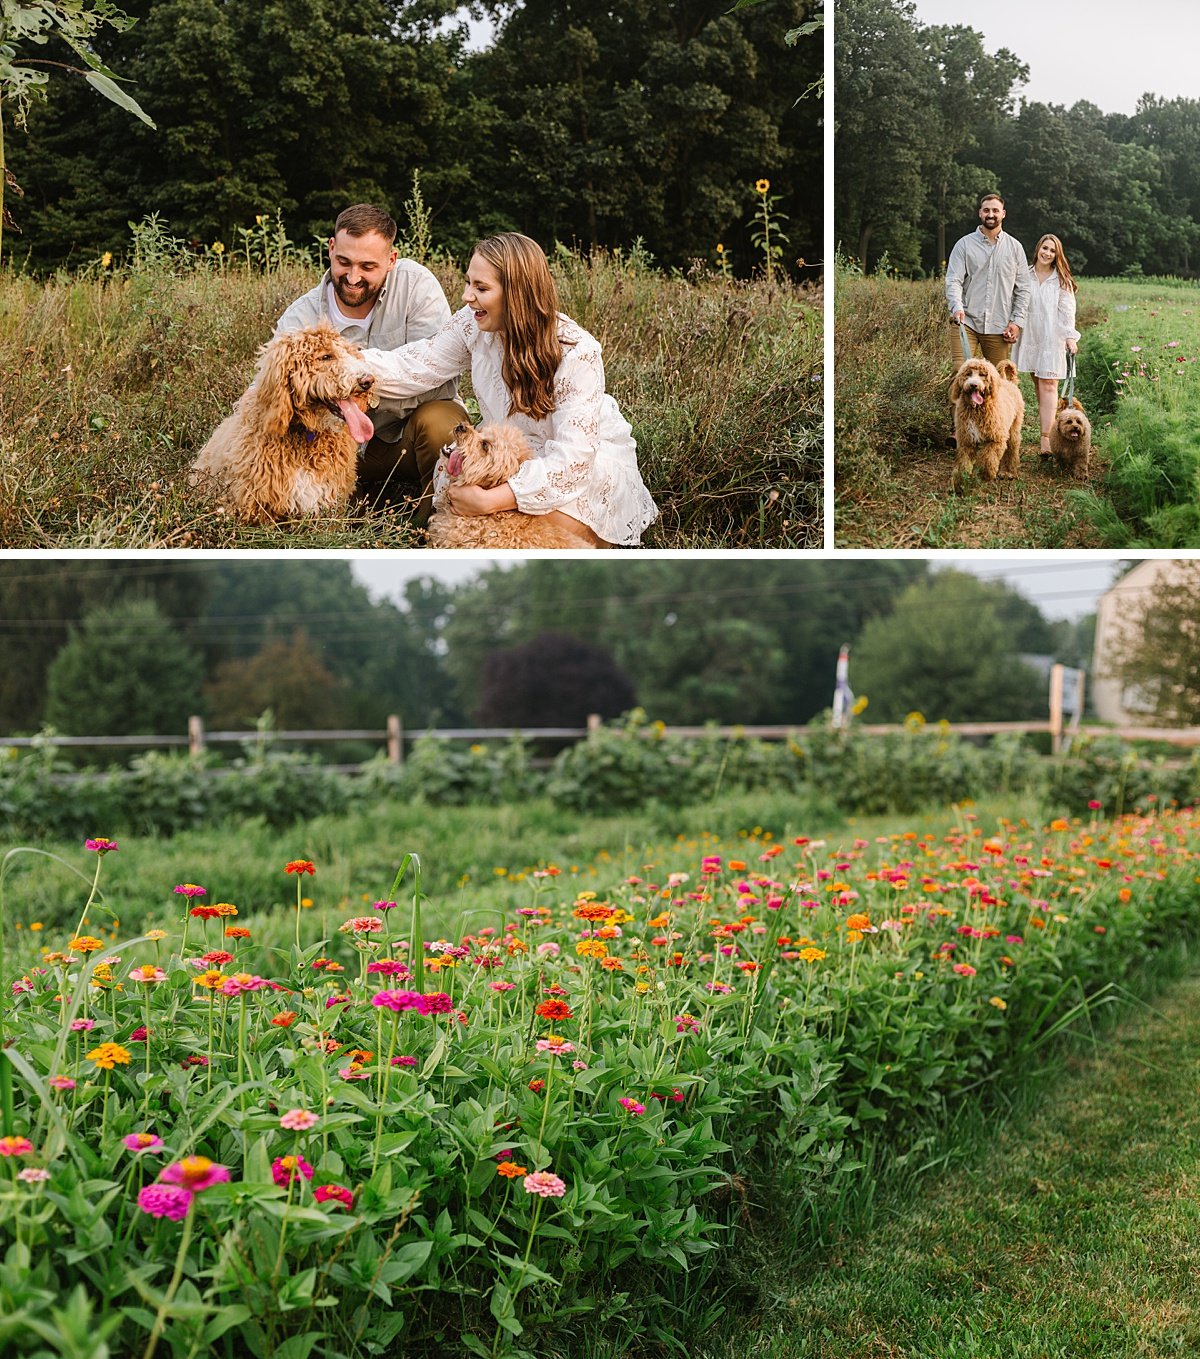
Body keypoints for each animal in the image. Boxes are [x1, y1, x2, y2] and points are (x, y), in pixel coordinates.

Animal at [945, 358, 1021, 491]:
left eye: (982, 375)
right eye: (968, 374)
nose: (973, 385)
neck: (976, 409)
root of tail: (1009, 382)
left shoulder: (996, 439)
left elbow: (988, 459)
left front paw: (985, 475)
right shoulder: (967, 441)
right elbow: (963, 463)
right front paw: (959, 483)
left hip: (1013, 431)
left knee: (1011, 451)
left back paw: (1009, 472)